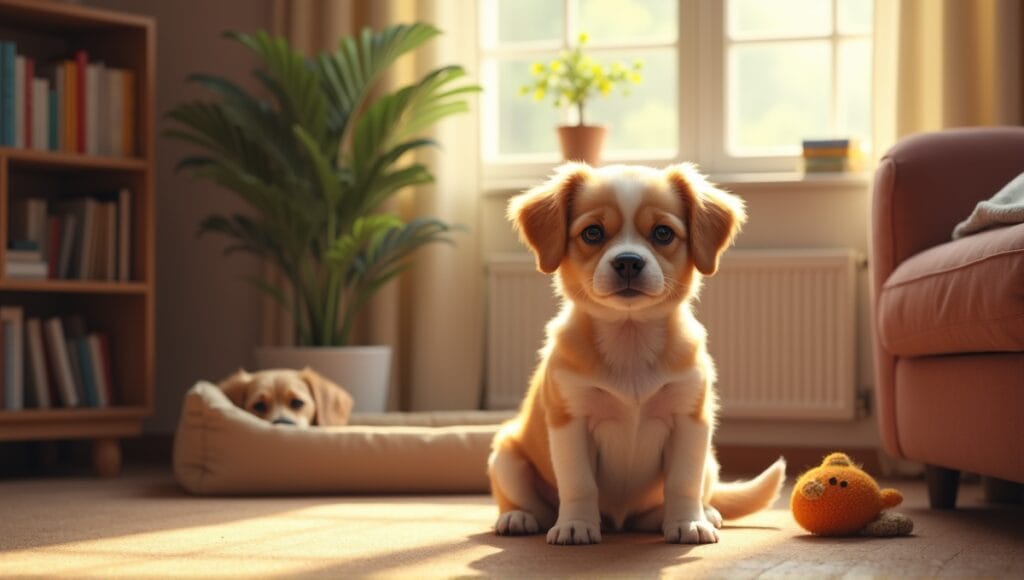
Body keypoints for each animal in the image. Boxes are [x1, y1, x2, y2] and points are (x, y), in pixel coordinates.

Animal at [487, 162, 782, 545]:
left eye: (662, 233)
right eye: (593, 233)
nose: (628, 262)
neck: (630, 339)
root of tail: (620, 521)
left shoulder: (690, 419)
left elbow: (683, 482)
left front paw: (688, 522)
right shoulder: (571, 420)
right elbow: (579, 484)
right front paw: (576, 524)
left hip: (710, 463)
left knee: (687, 497)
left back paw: (700, 514)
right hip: (506, 456)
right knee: (526, 502)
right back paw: (518, 517)